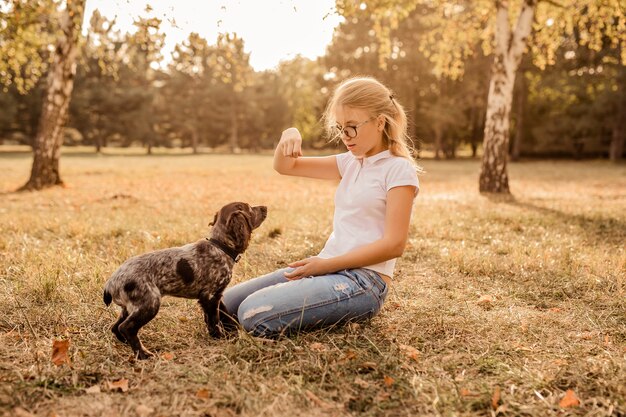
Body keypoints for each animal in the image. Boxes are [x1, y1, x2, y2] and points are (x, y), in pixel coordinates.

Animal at [103, 202, 264, 358]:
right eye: (250, 208)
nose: (265, 207)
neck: (220, 246)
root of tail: (111, 283)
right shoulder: (210, 296)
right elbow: (214, 320)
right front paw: (220, 336)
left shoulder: (215, 295)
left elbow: (222, 314)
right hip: (149, 304)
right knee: (126, 327)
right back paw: (143, 354)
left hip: (129, 308)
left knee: (116, 327)